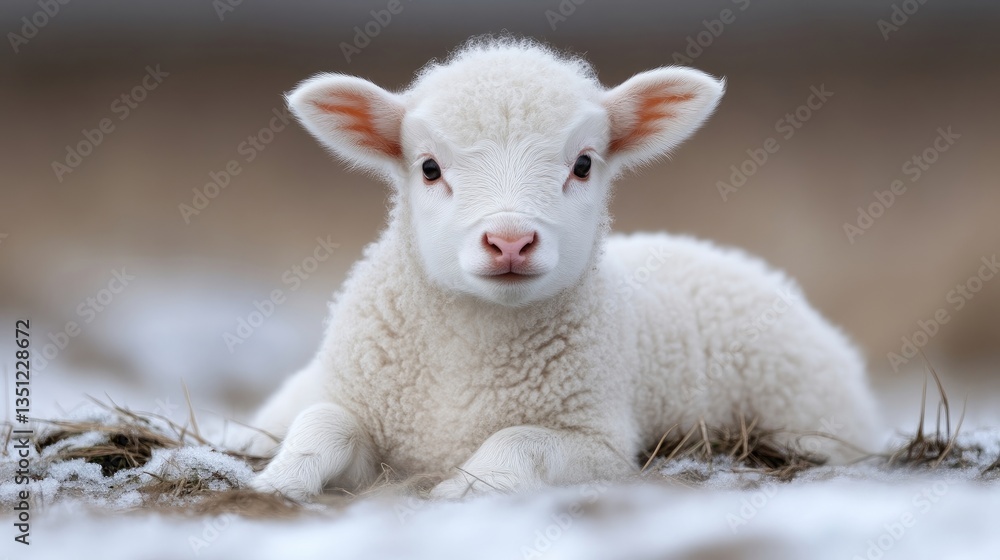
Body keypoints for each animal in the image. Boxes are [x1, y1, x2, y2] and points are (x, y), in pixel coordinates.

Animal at [245, 37, 881, 501]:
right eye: (428, 167)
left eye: (583, 164)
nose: (509, 241)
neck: (468, 358)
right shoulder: (364, 416)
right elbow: (324, 422)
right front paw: (279, 481)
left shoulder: (600, 442)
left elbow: (518, 439)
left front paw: (462, 488)